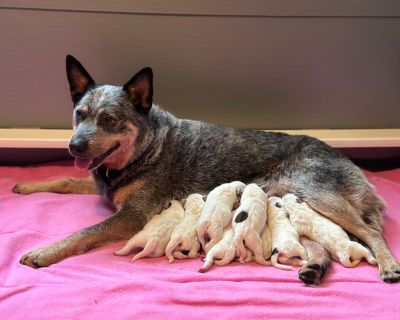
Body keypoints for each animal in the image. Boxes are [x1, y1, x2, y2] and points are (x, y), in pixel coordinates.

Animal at [13, 55, 400, 284]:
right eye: (79, 115)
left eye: (109, 119)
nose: (74, 146)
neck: (146, 147)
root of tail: (347, 160)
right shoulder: (100, 183)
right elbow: (66, 178)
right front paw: (26, 187)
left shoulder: (132, 216)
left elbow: (85, 232)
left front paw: (45, 252)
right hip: (299, 207)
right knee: (324, 245)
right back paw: (314, 267)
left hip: (317, 195)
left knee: (370, 231)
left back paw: (387, 263)